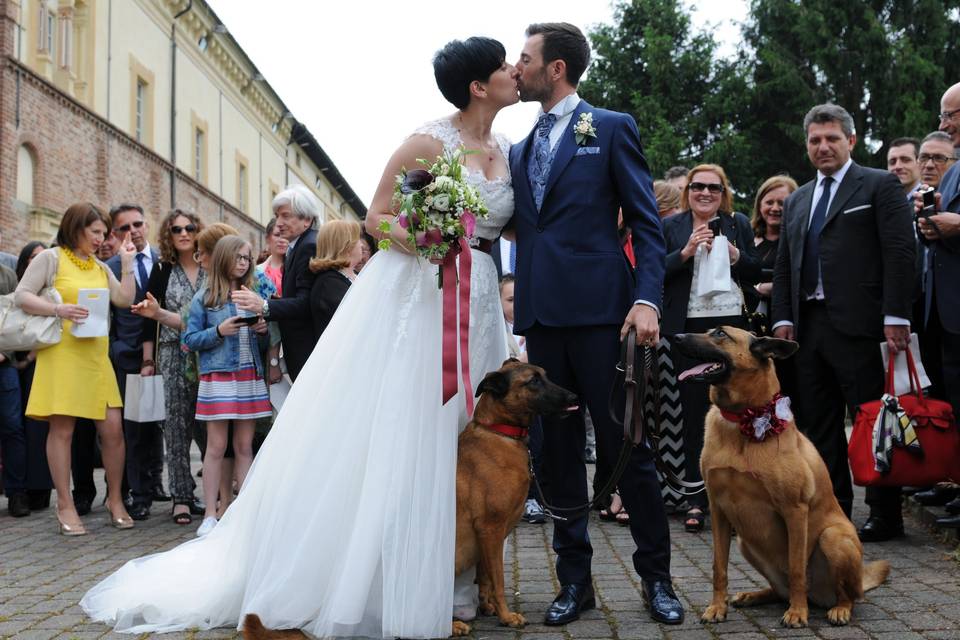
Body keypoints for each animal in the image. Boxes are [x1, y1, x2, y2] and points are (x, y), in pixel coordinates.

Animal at [248, 360, 576, 640]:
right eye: (533, 381)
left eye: (545, 375)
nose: (574, 395)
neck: (499, 433)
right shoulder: (491, 531)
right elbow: (498, 580)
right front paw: (507, 616)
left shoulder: (488, 538)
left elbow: (485, 578)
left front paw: (489, 608)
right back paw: (450, 625)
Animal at [672, 328, 888, 628]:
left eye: (719, 333)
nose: (676, 337)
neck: (742, 419)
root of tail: (819, 596)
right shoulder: (718, 511)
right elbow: (719, 567)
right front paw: (717, 608)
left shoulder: (794, 511)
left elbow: (797, 569)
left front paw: (797, 613)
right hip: (745, 542)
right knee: (779, 590)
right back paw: (752, 595)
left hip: (834, 538)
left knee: (846, 595)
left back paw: (837, 609)